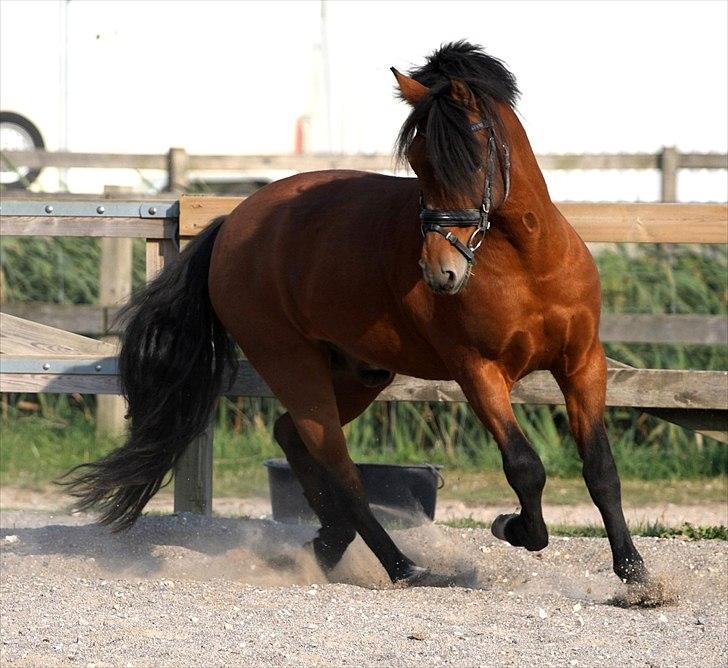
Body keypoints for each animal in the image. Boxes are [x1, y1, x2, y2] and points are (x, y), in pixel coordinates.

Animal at [65, 41, 648, 588]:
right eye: (419, 163)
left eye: (471, 158)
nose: (440, 274)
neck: (528, 262)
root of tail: (231, 224)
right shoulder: (479, 373)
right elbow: (524, 467)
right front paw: (515, 528)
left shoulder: (582, 364)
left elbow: (601, 469)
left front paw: (635, 574)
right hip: (293, 364)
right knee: (340, 467)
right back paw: (404, 568)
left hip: (358, 372)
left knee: (293, 436)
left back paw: (331, 542)